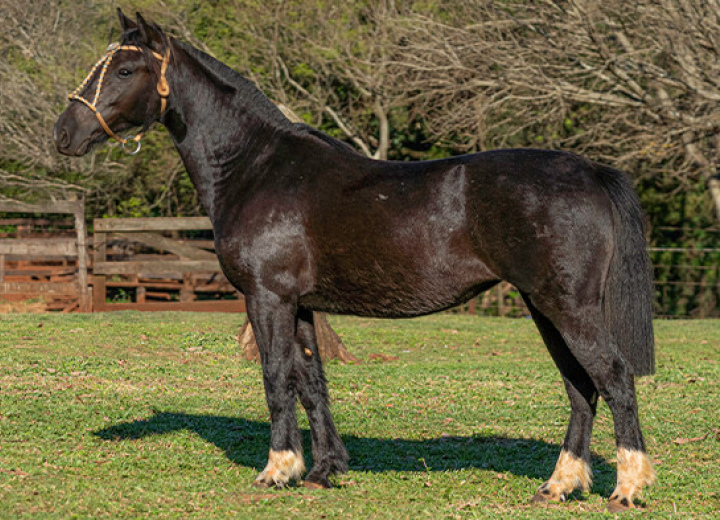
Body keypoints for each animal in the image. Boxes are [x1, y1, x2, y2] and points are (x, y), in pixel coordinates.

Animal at [53, 9, 656, 512]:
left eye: (125, 69)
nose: (63, 133)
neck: (256, 166)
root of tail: (589, 170)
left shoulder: (267, 297)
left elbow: (276, 375)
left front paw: (277, 470)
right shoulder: (299, 304)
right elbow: (310, 379)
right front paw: (323, 470)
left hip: (566, 306)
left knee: (613, 377)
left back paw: (626, 487)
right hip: (542, 306)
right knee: (580, 388)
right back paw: (560, 484)